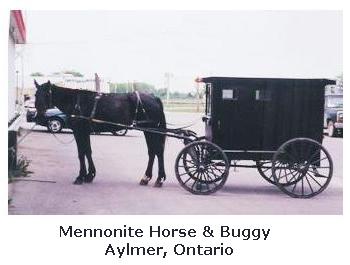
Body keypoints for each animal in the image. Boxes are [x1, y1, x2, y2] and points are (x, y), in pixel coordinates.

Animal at [33, 80, 167, 186]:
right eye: (35, 94)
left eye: (46, 94)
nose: (39, 116)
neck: (76, 102)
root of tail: (154, 97)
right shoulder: (84, 132)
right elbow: (87, 151)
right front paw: (90, 175)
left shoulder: (79, 131)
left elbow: (81, 153)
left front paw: (81, 176)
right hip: (148, 131)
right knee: (152, 152)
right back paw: (146, 178)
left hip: (151, 130)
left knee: (158, 151)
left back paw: (159, 179)